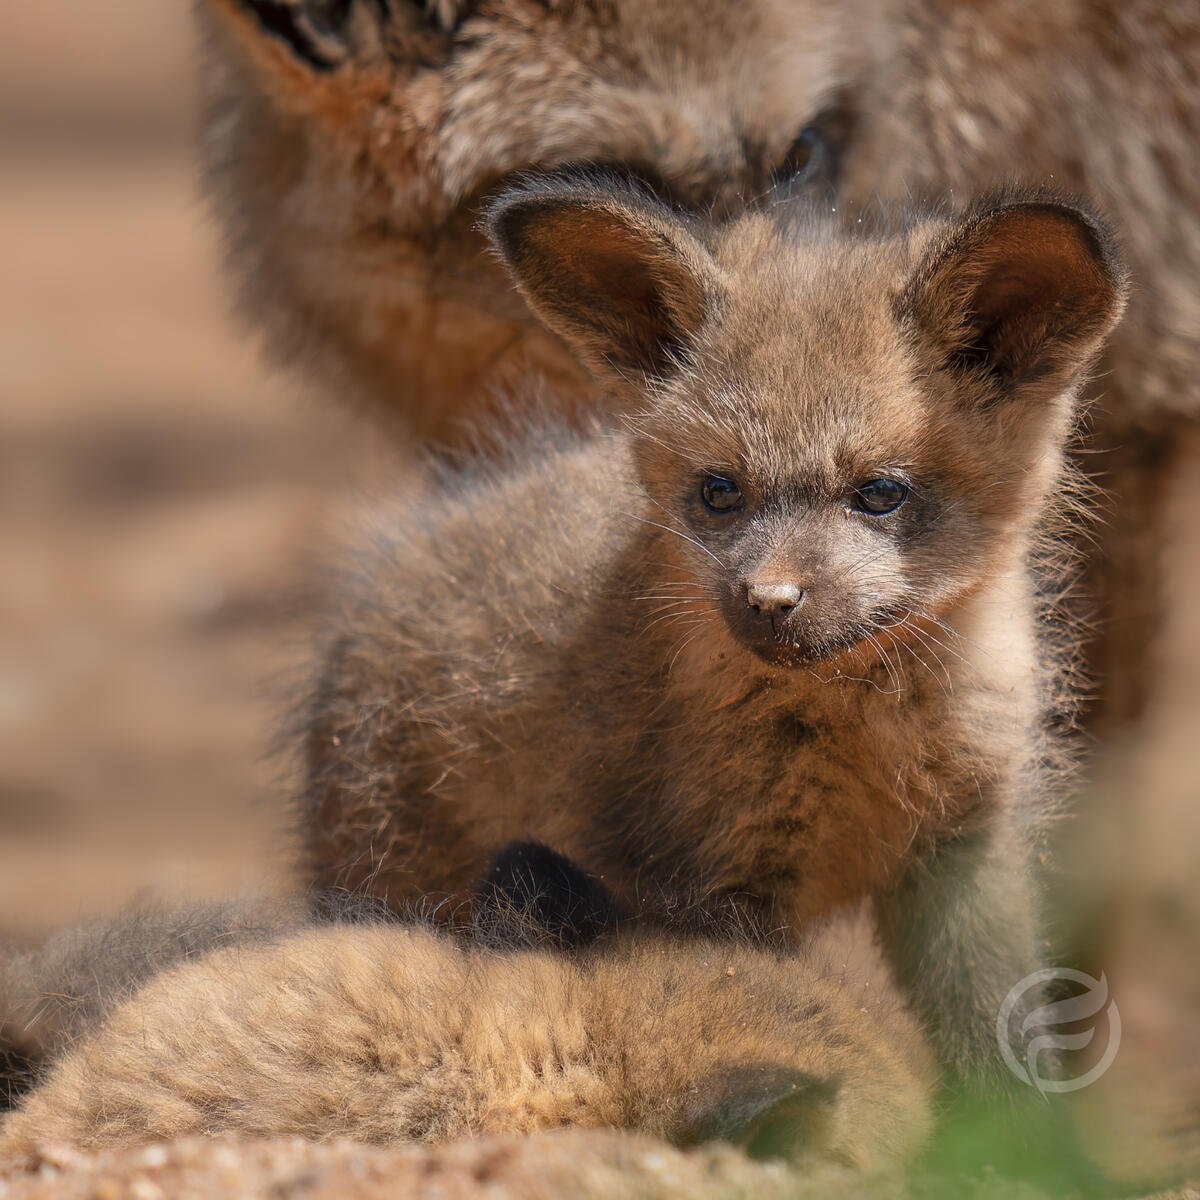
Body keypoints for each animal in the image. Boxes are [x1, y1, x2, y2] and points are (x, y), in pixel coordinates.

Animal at [296, 174, 1127, 1171]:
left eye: (880, 493)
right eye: (719, 491)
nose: (768, 600)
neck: (869, 733)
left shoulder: (964, 846)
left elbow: (997, 1029)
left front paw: (1032, 1164)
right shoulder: (710, 887)